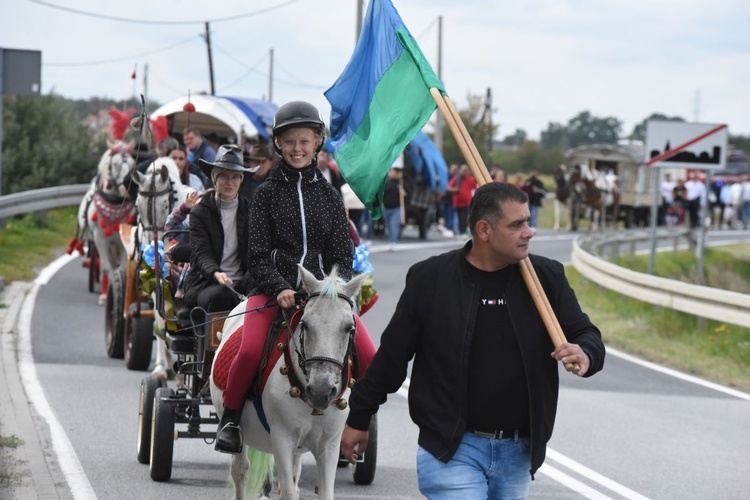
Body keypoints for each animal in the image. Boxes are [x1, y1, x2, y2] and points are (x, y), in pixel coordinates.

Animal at [212, 266, 370, 500]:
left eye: (350, 328)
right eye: (305, 324)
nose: (321, 391)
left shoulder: (329, 446)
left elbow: (322, 492)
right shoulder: (282, 440)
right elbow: (286, 492)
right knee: (240, 471)